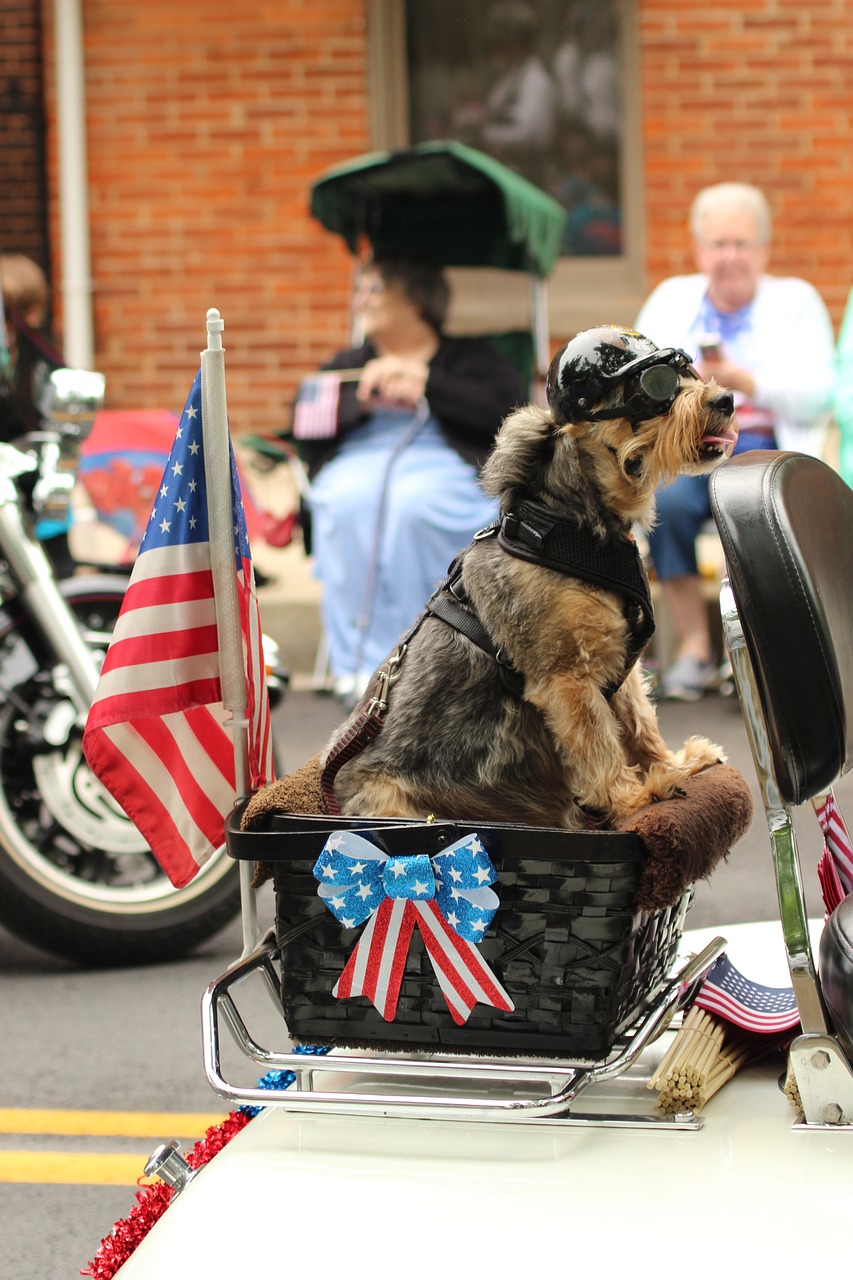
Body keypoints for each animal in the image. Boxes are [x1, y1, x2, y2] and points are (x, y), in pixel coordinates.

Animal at [322, 330, 732, 829]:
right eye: (656, 386)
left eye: (688, 369)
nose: (727, 399)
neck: (569, 527)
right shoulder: (567, 679)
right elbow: (600, 747)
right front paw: (635, 800)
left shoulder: (621, 667)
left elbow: (640, 724)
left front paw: (672, 765)